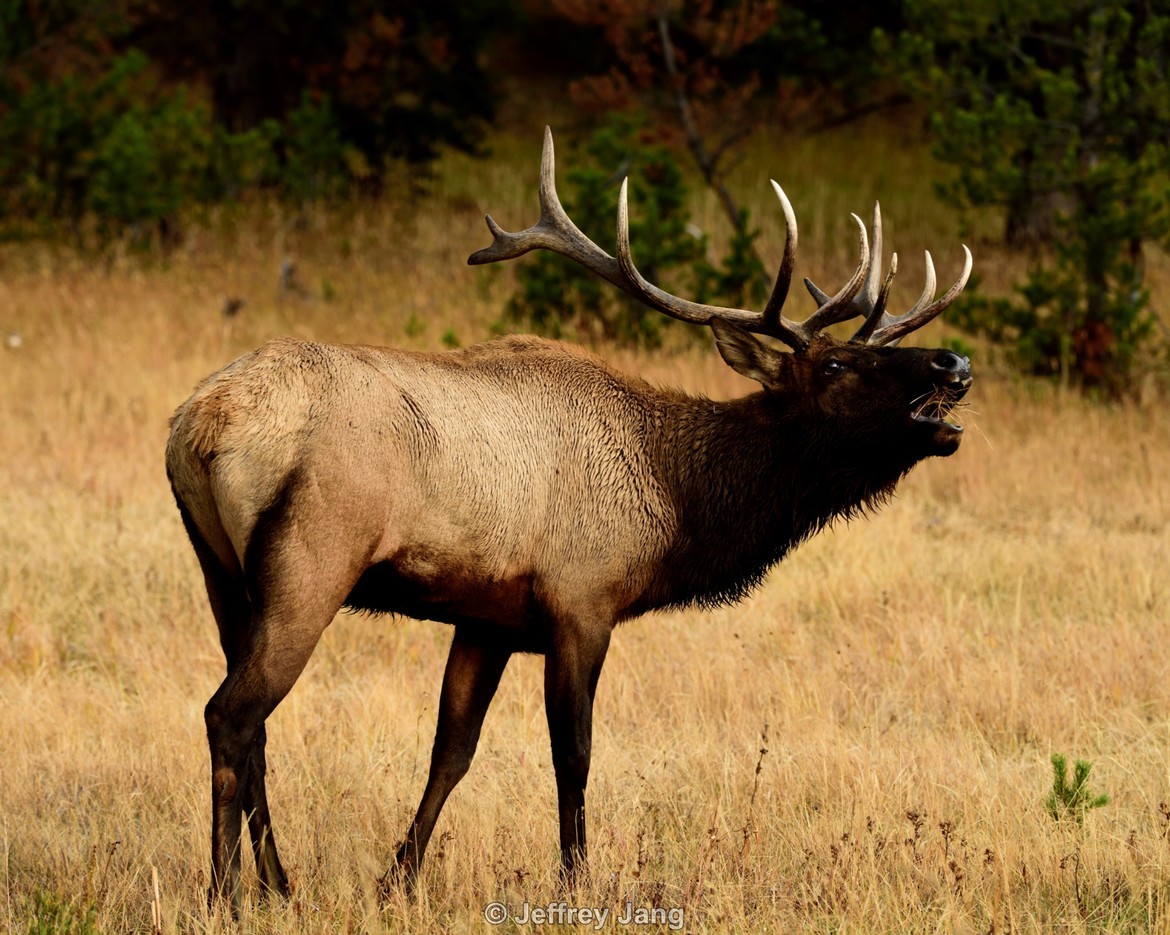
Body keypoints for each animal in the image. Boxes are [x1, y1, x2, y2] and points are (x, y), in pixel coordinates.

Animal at [166, 127, 973, 910]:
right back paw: (224, 895)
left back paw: (279, 885)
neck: (674, 502)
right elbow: (573, 754)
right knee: (231, 714)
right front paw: (576, 883)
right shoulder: (583, 602)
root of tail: (201, 423)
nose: (953, 363)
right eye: (834, 366)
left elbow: (451, 751)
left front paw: (398, 881)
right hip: (311, 561)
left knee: (253, 726)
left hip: (222, 575)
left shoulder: (486, 618)